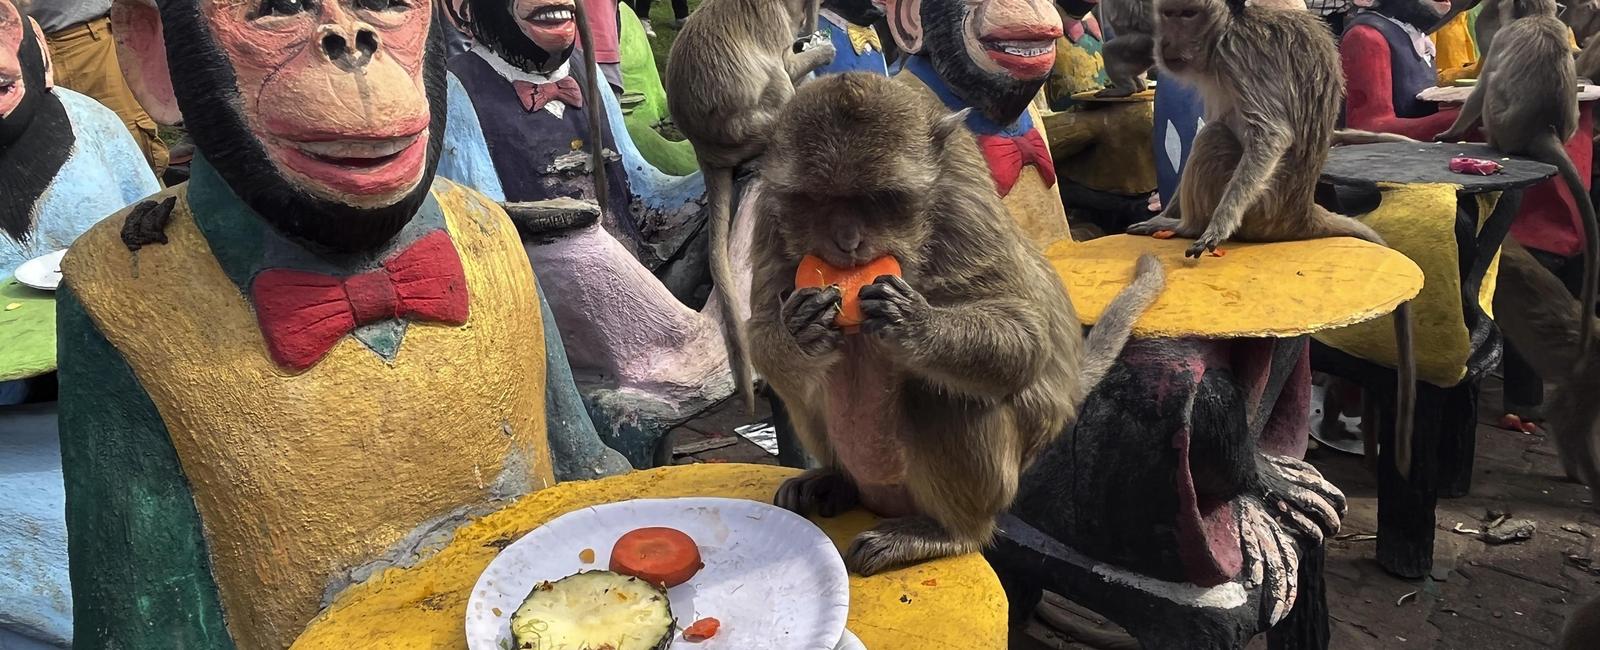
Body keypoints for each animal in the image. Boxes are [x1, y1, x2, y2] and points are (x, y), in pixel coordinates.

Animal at [662, 0, 838, 408]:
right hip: (750, 127)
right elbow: (785, 65)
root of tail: (704, 150)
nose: (808, 25)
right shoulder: (776, 24)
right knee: (778, 81)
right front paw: (823, 49)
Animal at [742, 73, 1171, 576]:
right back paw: (836, 479)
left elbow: (1026, 337)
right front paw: (798, 329)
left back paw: (950, 532)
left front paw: (914, 324)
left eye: (880, 200)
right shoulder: (768, 213)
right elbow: (763, 323)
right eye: (818, 199)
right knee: (805, 385)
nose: (847, 241)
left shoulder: (963, 206)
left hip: (996, 480)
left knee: (942, 396)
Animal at [1120, 0, 1420, 470]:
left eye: (1188, 14)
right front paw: (1163, 212)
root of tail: (1300, 214)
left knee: (1215, 138)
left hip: (1261, 211)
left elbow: (1268, 135)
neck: (1224, 30)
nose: (1166, 43)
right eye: (1168, 14)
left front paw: (1215, 224)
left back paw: (1188, 224)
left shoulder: (1241, 55)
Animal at [1440, 0, 1600, 360]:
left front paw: (1449, 132)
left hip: (1500, 123)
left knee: (1490, 87)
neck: (1537, 16)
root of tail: (1542, 129)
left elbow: (1481, 87)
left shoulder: (1502, 37)